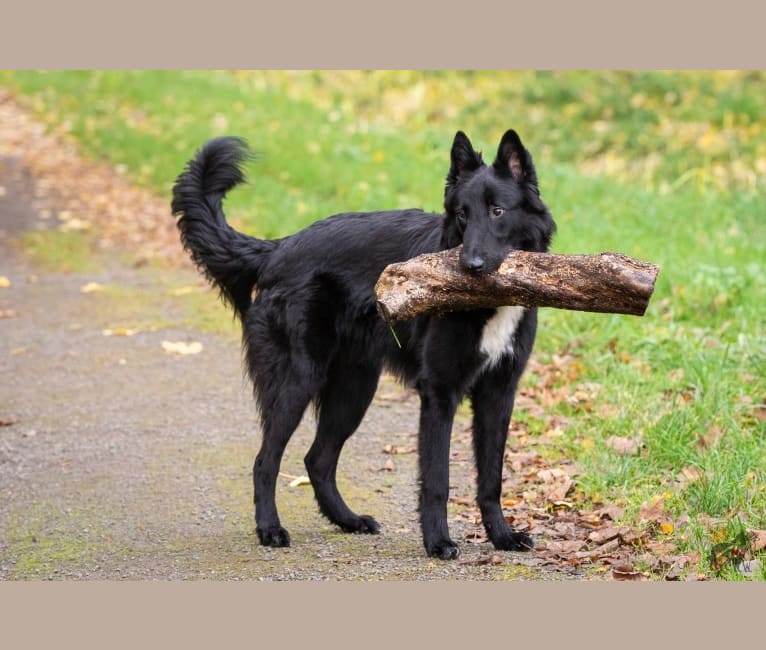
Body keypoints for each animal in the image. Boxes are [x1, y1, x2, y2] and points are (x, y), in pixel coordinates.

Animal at [172, 132, 560, 556]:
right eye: (462, 214)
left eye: (497, 211)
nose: (468, 267)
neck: (490, 305)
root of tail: (280, 247)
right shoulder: (439, 393)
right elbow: (436, 479)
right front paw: (438, 542)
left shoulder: (498, 393)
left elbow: (491, 477)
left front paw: (502, 536)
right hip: (298, 383)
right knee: (266, 461)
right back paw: (270, 529)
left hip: (353, 390)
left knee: (317, 460)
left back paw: (347, 520)